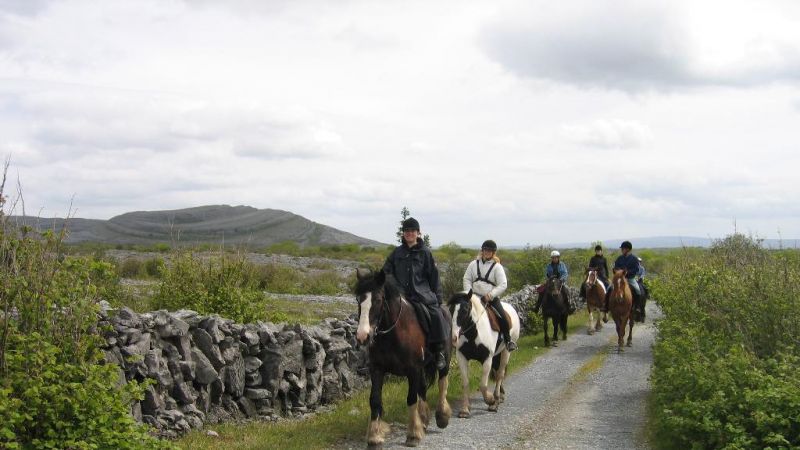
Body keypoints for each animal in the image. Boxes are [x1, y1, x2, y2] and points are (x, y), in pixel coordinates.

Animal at [354, 268, 454, 448]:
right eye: (359, 300)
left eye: (378, 300)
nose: (362, 336)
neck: (394, 333)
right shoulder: (377, 369)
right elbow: (375, 400)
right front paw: (374, 437)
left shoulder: (412, 370)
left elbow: (411, 399)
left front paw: (413, 435)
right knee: (423, 388)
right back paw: (423, 419)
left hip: (445, 360)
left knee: (442, 382)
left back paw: (442, 416)